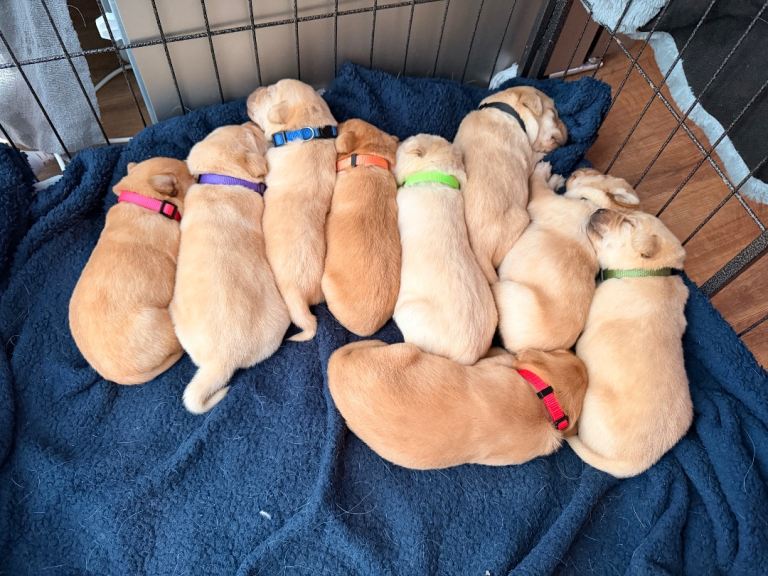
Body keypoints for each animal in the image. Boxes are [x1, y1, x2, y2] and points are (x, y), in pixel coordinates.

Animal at [455, 86, 567, 283]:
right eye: (554, 114)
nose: (569, 132)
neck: (506, 108)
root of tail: (480, 254)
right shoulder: (530, 155)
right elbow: (538, 154)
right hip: (522, 219)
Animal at [494, 163, 641, 352]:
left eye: (603, 175)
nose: (579, 169)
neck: (591, 203)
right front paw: (555, 179)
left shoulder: (543, 200)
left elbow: (537, 183)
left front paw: (543, 170)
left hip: (509, 290)